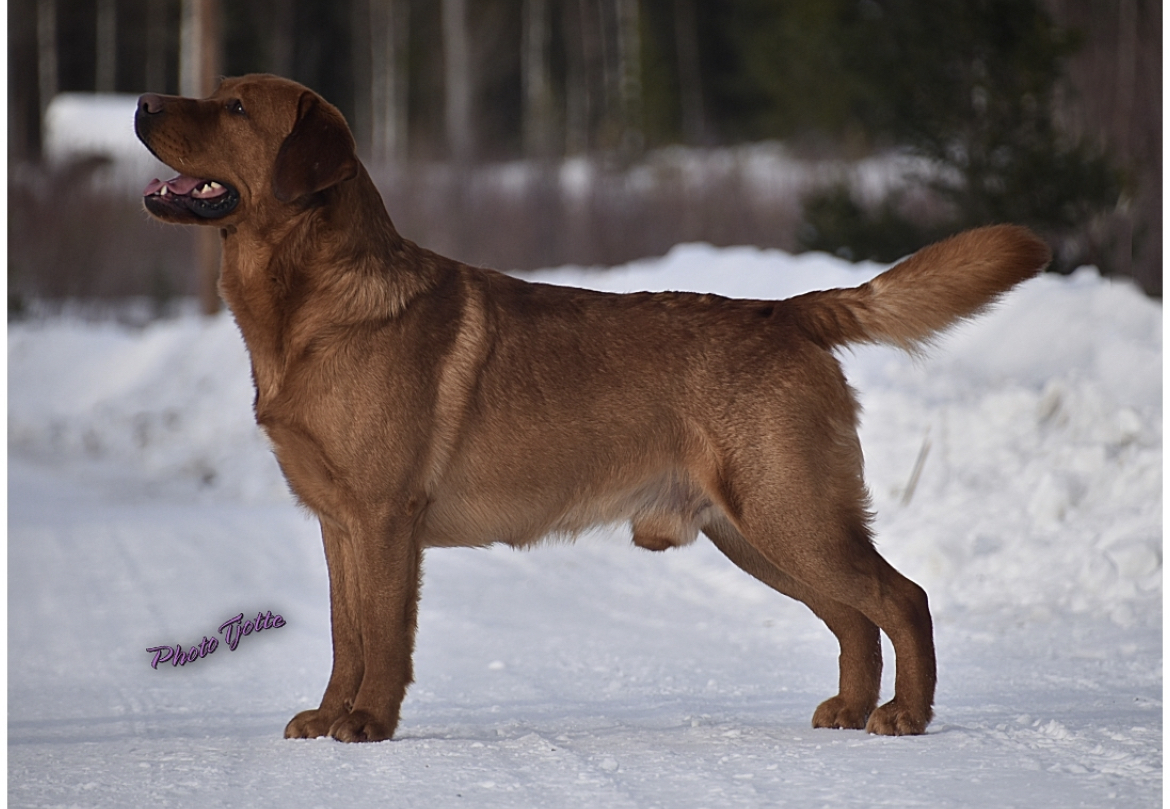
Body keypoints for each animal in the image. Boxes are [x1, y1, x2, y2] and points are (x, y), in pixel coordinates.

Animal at [136, 74, 1053, 739]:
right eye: (215, 92)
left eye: (235, 106)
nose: (143, 103)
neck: (307, 307)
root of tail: (786, 309)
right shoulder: (338, 524)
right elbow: (344, 632)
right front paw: (331, 713)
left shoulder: (385, 518)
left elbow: (384, 635)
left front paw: (365, 722)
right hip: (758, 531)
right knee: (855, 621)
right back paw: (853, 710)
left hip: (791, 514)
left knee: (902, 599)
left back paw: (907, 715)